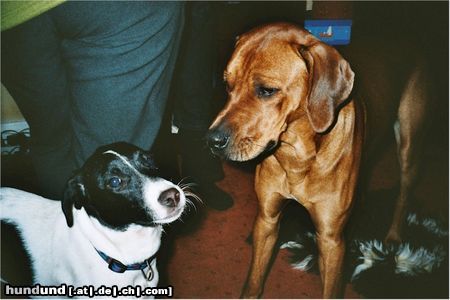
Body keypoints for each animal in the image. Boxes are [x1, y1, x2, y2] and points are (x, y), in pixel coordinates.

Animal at [207, 22, 428, 298]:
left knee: (403, 195)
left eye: (267, 90)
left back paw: (394, 238)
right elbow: (254, 282)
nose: (212, 140)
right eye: (227, 85)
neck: (297, 157)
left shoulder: (330, 241)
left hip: (409, 146)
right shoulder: (267, 220)